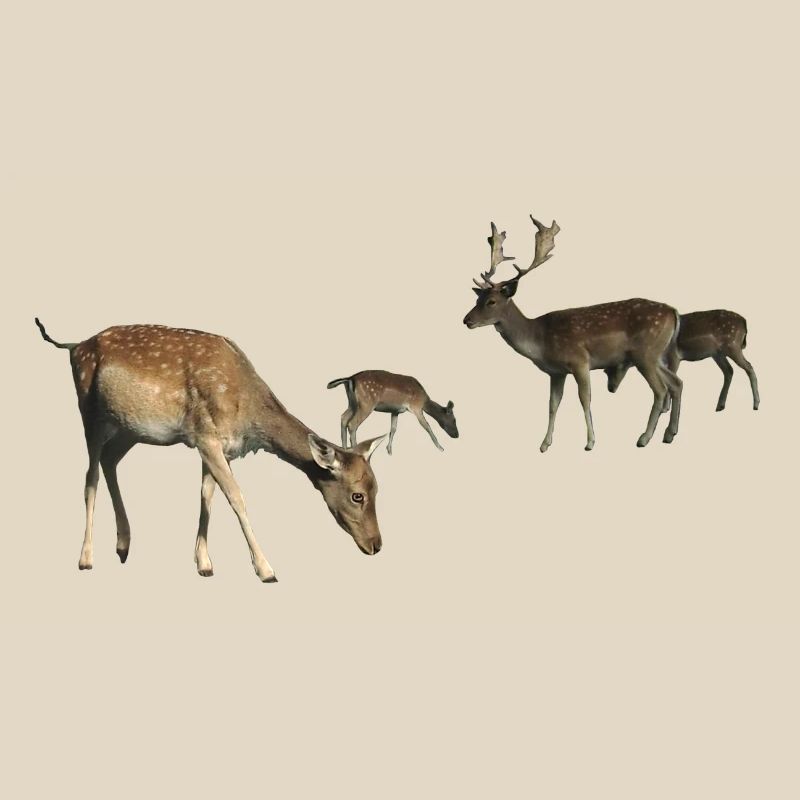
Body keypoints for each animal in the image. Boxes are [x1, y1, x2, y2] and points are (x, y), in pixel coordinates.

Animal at [35, 318, 388, 582]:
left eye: (378, 489)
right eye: (357, 495)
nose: (377, 545)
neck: (246, 414)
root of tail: (74, 346)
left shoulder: (217, 445)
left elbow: (207, 494)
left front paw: (204, 563)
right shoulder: (206, 437)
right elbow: (236, 496)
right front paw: (266, 569)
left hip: (129, 427)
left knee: (110, 461)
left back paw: (123, 545)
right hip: (90, 412)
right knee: (89, 476)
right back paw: (86, 558)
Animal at [327, 370, 458, 454]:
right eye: (454, 420)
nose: (457, 435)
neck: (424, 401)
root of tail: (350, 378)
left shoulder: (395, 411)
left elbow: (393, 429)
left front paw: (389, 450)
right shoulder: (416, 407)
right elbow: (427, 426)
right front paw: (441, 448)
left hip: (353, 403)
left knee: (343, 417)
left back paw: (344, 450)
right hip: (366, 403)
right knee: (352, 423)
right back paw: (357, 453)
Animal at [462, 217, 683, 451]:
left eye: (491, 301)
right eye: (477, 298)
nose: (466, 320)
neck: (540, 341)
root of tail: (673, 312)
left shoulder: (579, 361)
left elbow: (585, 399)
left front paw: (590, 442)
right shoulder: (556, 372)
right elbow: (553, 404)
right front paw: (544, 444)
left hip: (645, 353)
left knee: (660, 390)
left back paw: (644, 438)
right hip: (655, 355)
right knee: (676, 383)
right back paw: (669, 434)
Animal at [605, 309, 760, 412]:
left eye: (615, 367)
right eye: (605, 371)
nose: (610, 388)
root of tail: (744, 322)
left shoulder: (674, 356)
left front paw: (665, 409)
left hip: (733, 345)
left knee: (749, 367)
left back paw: (756, 404)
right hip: (718, 353)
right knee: (729, 370)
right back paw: (720, 406)